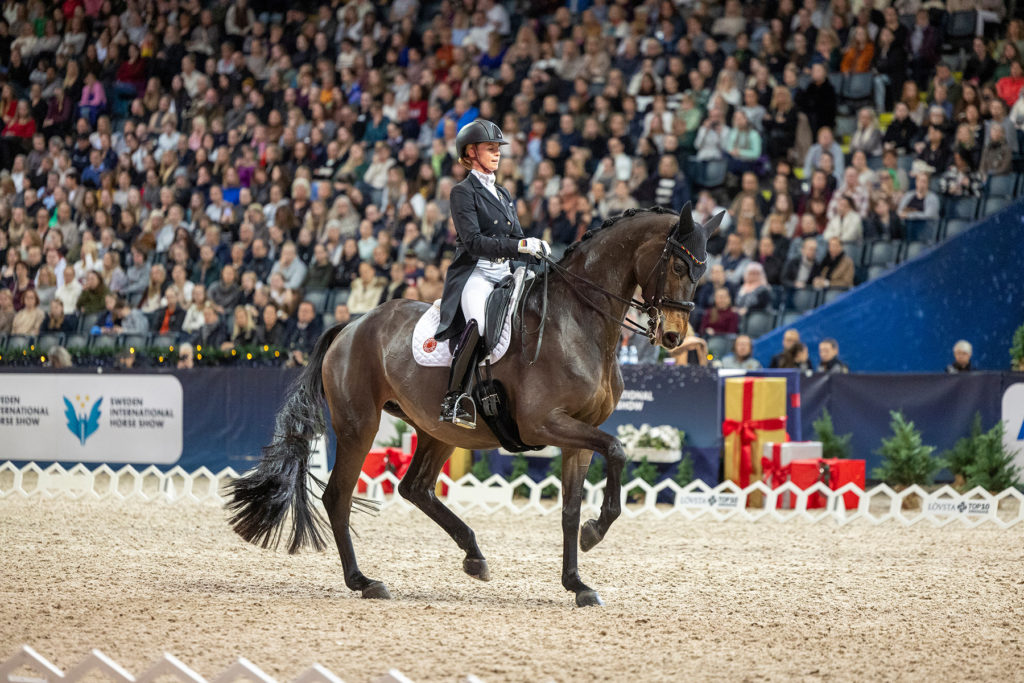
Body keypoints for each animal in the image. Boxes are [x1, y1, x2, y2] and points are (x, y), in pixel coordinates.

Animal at [226, 204, 720, 610]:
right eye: (679, 263)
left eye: (703, 269)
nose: (674, 336)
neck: (577, 321)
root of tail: (350, 326)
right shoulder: (546, 424)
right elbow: (617, 450)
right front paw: (594, 535)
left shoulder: (578, 434)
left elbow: (570, 508)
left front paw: (578, 583)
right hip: (358, 425)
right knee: (338, 496)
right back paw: (364, 581)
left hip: (437, 428)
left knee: (416, 488)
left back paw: (473, 555)